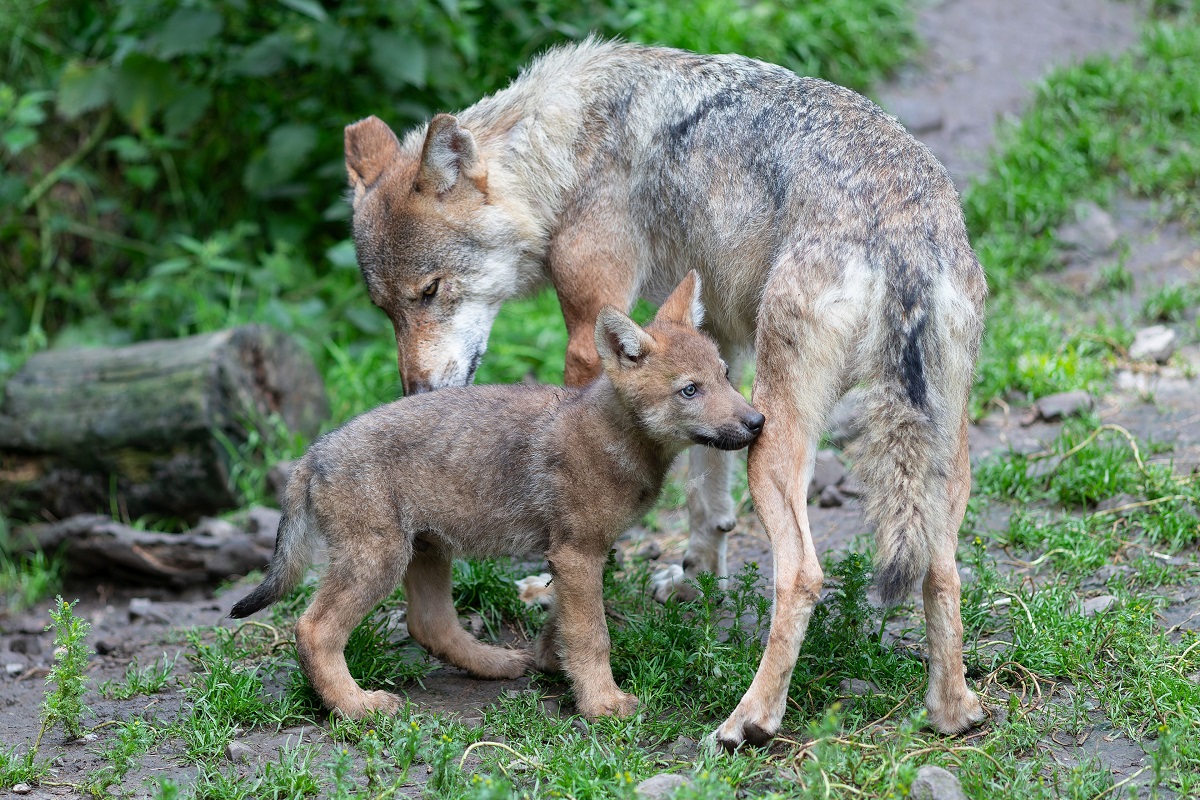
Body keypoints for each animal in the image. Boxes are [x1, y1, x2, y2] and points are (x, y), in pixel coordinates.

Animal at [343, 37, 988, 753]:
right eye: (385, 309)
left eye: (430, 291)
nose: (415, 391)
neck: (570, 146)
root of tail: (900, 236)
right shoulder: (716, 346)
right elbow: (708, 495)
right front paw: (696, 579)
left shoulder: (589, 331)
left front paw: (553, 599)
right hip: (938, 457)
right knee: (941, 570)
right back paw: (952, 712)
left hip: (780, 442)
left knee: (802, 574)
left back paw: (747, 721)